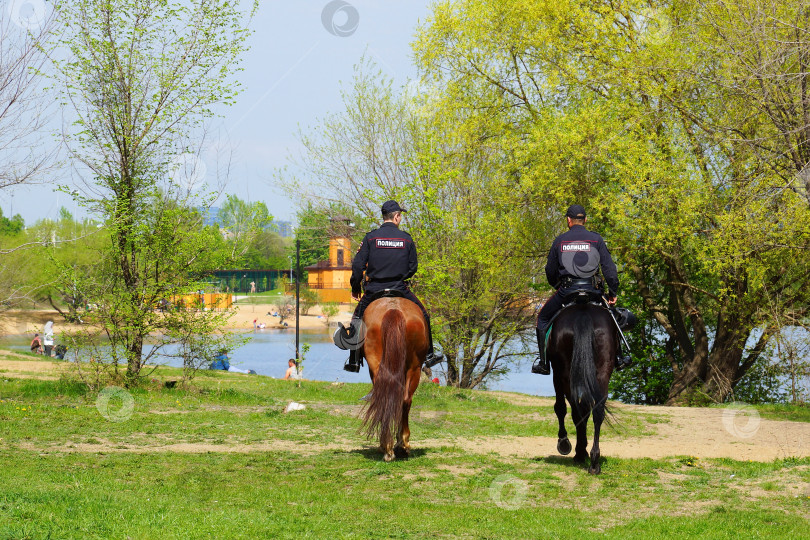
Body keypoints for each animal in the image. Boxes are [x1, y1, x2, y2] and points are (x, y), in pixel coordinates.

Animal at [548, 302, 620, 474]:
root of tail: (583, 314)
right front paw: (583, 449)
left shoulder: (556, 375)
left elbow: (561, 407)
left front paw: (565, 443)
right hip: (602, 372)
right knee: (597, 411)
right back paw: (594, 461)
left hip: (564, 375)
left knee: (575, 410)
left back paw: (579, 452)